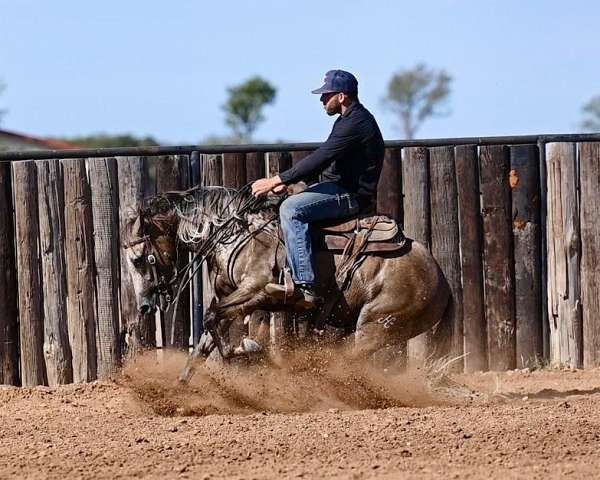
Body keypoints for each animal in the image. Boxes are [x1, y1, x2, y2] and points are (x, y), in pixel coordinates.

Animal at [123, 185, 450, 382]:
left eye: (138, 260)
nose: (144, 306)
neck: (234, 234)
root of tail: (441, 282)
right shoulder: (230, 299)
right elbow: (204, 342)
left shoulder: (255, 291)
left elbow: (213, 322)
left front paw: (252, 350)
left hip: (374, 326)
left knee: (349, 360)